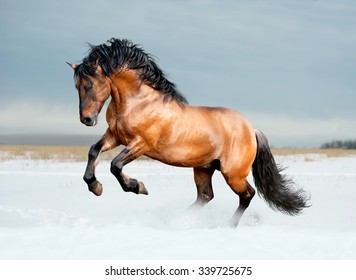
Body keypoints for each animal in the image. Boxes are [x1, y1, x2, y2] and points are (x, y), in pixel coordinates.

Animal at [68, 37, 310, 228]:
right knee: (205, 196)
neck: (140, 102)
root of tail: (251, 129)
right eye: (77, 86)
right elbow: (93, 151)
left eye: (89, 85)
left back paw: (227, 225)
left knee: (247, 195)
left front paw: (138, 187)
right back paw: (176, 219)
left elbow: (115, 165)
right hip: (204, 168)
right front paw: (95, 186)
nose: (87, 119)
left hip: (233, 174)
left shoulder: (141, 143)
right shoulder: (115, 136)